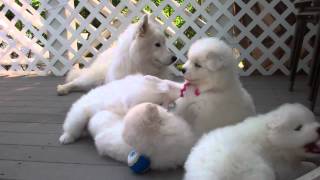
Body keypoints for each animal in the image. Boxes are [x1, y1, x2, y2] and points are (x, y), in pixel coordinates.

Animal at [184, 104, 318, 180]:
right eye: (298, 128)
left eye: (313, 120)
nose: (319, 128)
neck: (271, 139)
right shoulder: (283, 166)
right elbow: (297, 168)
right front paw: (311, 165)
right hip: (259, 169)